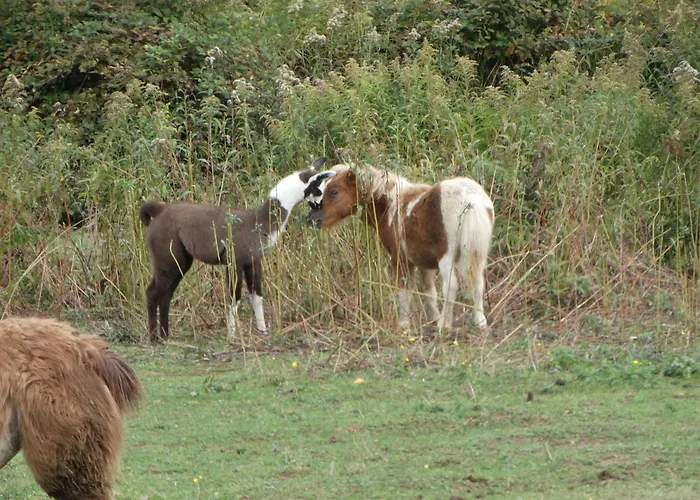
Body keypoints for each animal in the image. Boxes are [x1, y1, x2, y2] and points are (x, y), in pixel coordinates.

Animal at [305, 163, 494, 331]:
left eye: (334, 191)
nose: (311, 219)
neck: (391, 206)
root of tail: (470, 199)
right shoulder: (424, 263)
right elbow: (429, 292)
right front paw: (432, 319)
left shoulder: (400, 259)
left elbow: (404, 292)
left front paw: (404, 324)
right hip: (476, 255)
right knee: (477, 284)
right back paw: (480, 323)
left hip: (447, 257)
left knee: (451, 286)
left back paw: (444, 325)